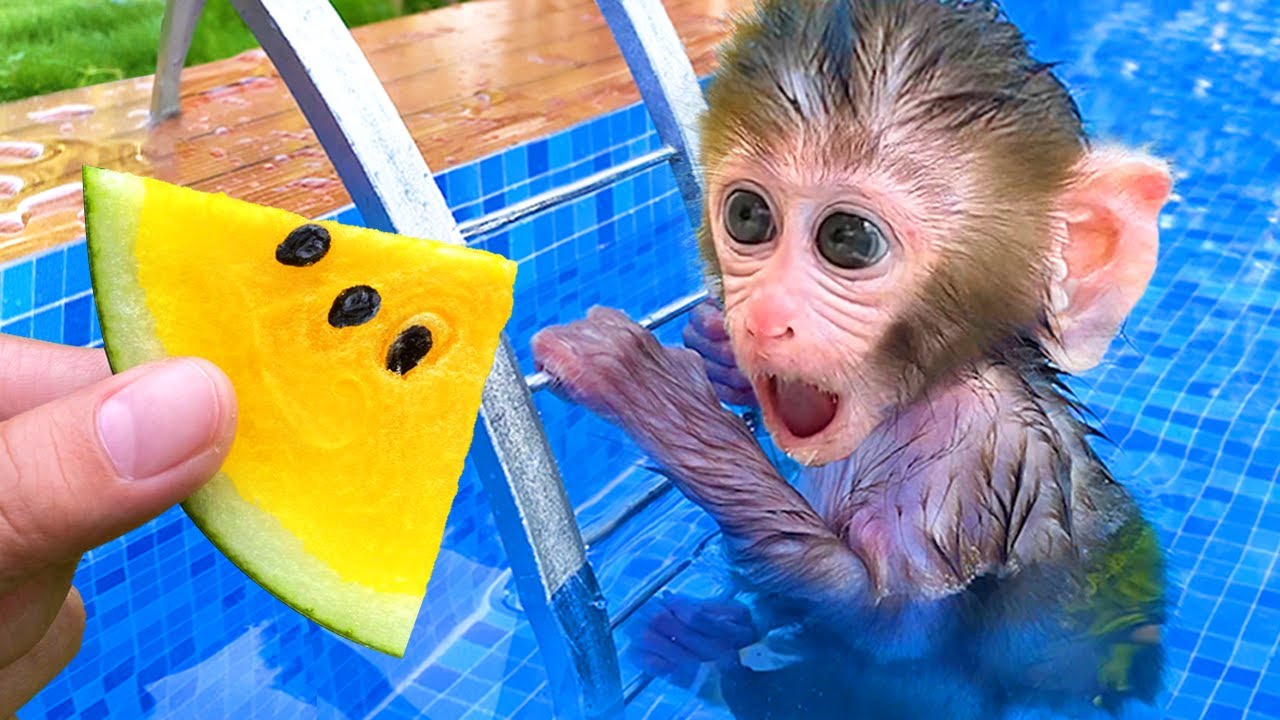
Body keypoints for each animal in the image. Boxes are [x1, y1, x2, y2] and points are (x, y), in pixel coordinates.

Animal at [530, 0, 1173, 717]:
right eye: (748, 216)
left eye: (849, 239)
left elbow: (887, 623)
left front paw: (658, 398)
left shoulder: (967, 463)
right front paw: (718, 354)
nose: (762, 316)